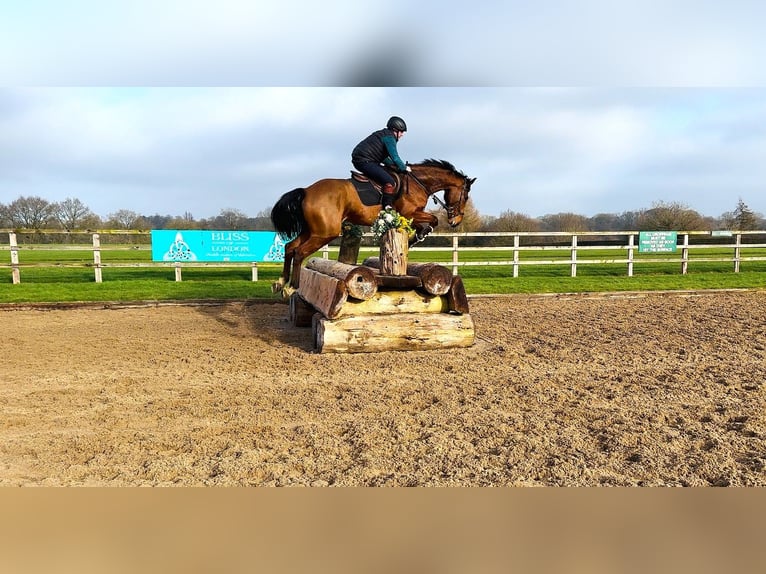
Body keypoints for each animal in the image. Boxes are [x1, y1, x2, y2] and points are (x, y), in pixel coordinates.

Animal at [270, 159, 474, 294]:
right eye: (465, 196)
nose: (456, 221)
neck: (419, 182)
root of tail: (306, 191)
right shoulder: (408, 214)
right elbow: (433, 220)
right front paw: (417, 236)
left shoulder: (409, 216)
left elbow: (428, 222)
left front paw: (416, 236)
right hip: (324, 233)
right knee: (299, 252)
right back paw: (292, 287)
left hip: (312, 231)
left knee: (290, 247)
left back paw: (281, 282)